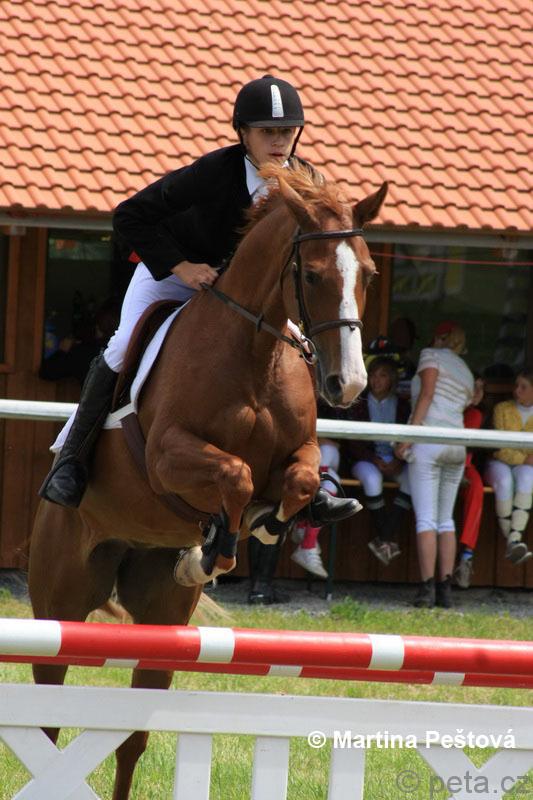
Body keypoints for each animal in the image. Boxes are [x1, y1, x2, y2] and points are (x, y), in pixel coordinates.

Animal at [28, 163, 387, 799]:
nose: (347, 385)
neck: (257, 349)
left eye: (368, 274)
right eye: (312, 275)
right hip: (59, 606)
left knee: (131, 740)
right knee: (48, 725)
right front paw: (213, 549)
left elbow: (296, 482)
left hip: (163, 620)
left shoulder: (301, 450)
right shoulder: (168, 457)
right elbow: (236, 475)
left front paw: (264, 525)